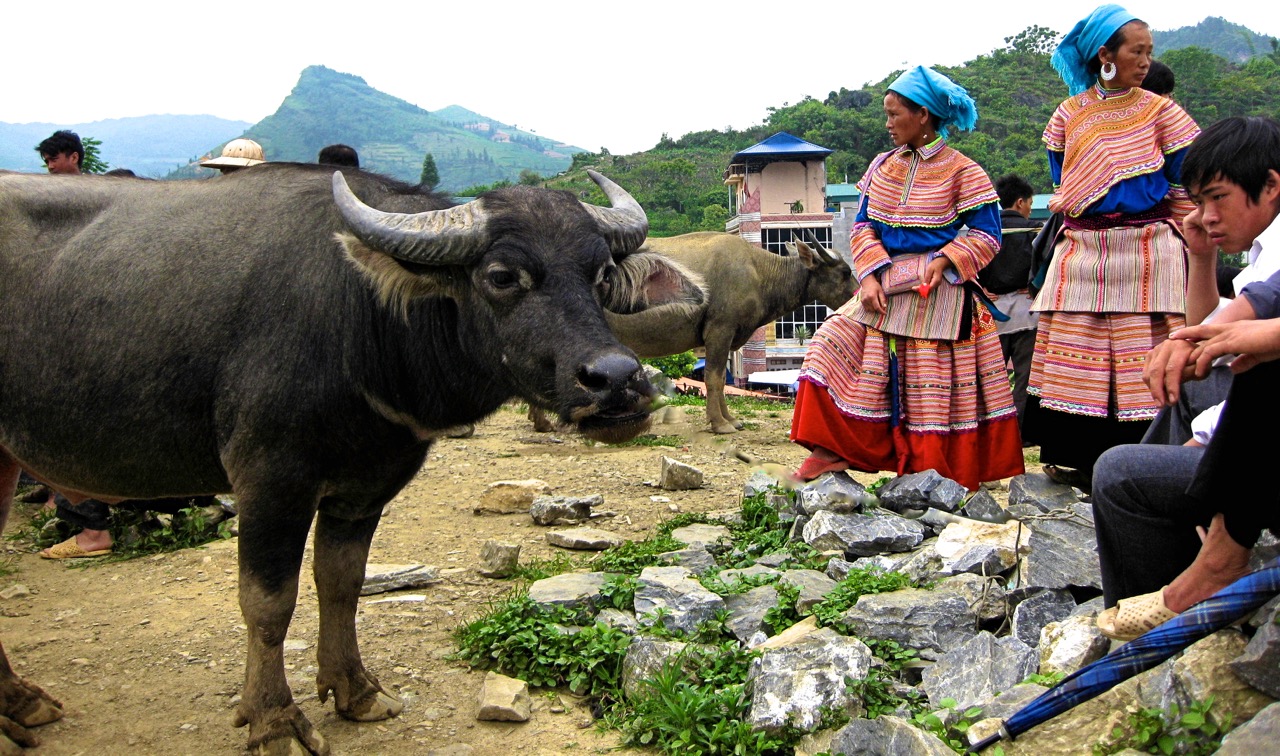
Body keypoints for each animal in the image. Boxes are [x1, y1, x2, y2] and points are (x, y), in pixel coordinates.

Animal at [0, 163, 701, 752]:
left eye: (601, 275)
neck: (359, 316)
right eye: (502, 276)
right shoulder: (268, 484)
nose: (617, 381)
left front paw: (356, 691)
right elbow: (267, 603)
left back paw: (24, 704)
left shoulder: (365, 487)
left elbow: (342, 582)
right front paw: (274, 722)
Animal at [535, 230, 855, 434]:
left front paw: (730, 419)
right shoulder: (720, 330)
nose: (858, 294)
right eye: (845, 272)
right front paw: (720, 424)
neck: (758, 271)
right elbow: (714, 378)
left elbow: (721, 380)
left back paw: (544, 423)